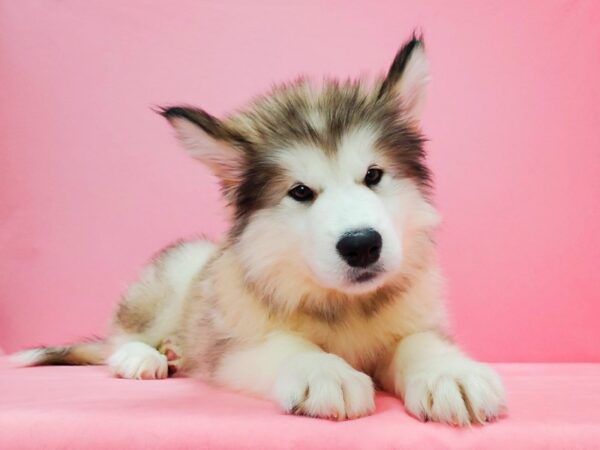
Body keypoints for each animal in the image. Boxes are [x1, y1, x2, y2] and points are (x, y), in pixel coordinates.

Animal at [12, 36, 506, 426]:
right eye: (300, 191)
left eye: (374, 175)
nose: (362, 245)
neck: (344, 305)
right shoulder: (232, 348)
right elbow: (287, 346)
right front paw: (324, 371)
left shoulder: (417, 315)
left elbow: (419, 342)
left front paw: (449, 373)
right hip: (178, 270)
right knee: (119, 335)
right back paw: (143, 355)